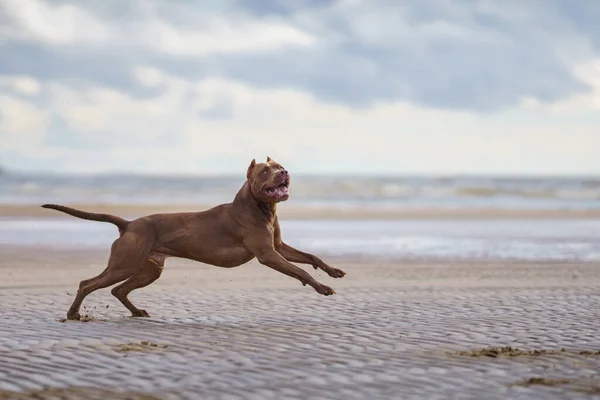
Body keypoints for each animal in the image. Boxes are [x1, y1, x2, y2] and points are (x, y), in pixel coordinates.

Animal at [42, 158, 346, 320]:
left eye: (281, 166)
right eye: (264, 171)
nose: (284, 172)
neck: (260, 208)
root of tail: (128, 224)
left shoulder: (279, 247)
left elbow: (310, 257)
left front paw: (333, 271)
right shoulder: (268, 255)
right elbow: (299, 270)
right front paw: (321, 287)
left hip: (149, 269)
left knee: (119, 290)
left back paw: (137, 312)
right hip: (124, 264)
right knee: (88, 283)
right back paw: (73, 314)